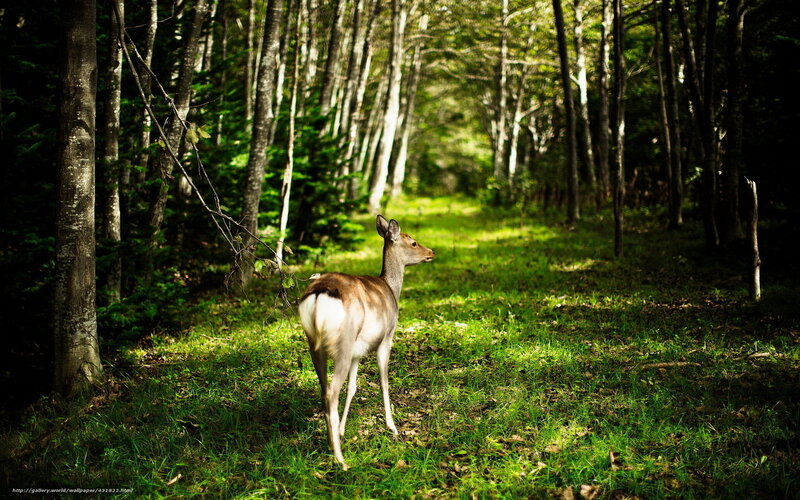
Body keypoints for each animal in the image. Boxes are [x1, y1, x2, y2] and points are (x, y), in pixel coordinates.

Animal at [298, 215, 435, 469]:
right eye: (413, 242)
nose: (431, 252)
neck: (391, 288)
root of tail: (319, 293)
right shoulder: (387, 337)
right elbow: (383, 381)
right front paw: (392, 427)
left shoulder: (357, 352)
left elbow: (353, 387)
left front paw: (343, 430)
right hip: (343, 341)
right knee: (331, 392)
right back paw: (341, 460)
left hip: (314, 343)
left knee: (324, 390)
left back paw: (333, 442)